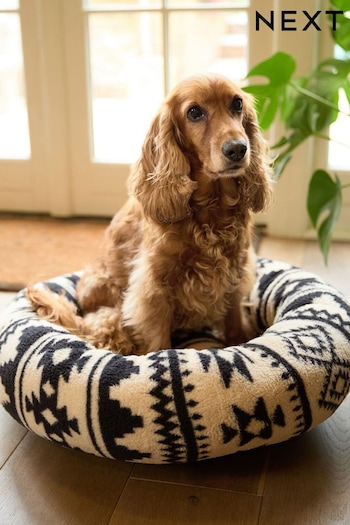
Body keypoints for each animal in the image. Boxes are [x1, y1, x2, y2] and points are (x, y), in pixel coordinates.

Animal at [28, 73, 274, 354]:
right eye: (194, 112)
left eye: (237, 104)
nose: (238, 149)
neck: (211, 209)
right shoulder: (154, 289)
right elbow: (158, 340)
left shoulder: (236, 274)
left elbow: (234, 325)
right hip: (108, 310)